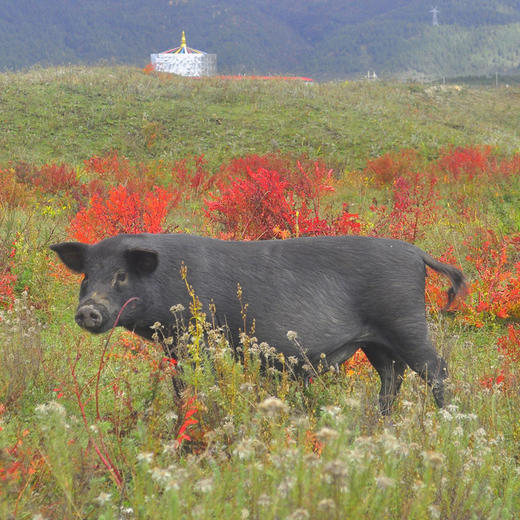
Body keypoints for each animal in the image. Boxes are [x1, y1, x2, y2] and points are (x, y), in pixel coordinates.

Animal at [50, 234, 466, 412]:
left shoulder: (200, 336)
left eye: (120, 276)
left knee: (437, 370)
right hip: (375, 341)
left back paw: (445, 419)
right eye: (86, 276)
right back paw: (380, 420)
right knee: (392, 376)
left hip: (405, 323)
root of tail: (417, 254)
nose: (88, 310)